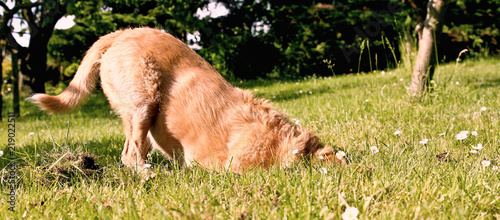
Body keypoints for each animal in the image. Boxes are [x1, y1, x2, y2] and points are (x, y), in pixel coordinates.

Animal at [31, 27, 342, 172]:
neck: (283, 142)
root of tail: (122, 33)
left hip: (138, 116)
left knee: (133, 151)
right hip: (144, 101)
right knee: (131, 155)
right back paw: (152, 176)